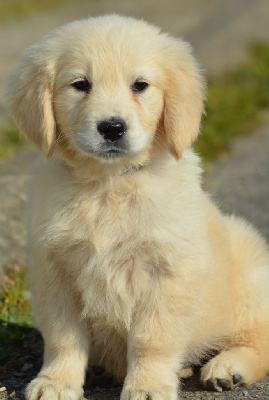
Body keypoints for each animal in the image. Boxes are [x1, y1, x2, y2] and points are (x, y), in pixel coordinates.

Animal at [7, 13, 268, 400]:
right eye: (80, 84)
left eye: (140, 85)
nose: (112, 128)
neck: (109, 183)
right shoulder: (54, 270)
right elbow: (63, 338)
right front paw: (56, 381)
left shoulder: (167, 271)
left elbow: (151, 339)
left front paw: (148, 386)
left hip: (251, 285)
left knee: (258, 341)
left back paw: (227, 368)